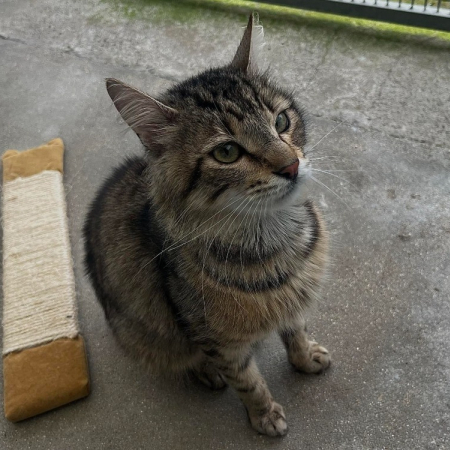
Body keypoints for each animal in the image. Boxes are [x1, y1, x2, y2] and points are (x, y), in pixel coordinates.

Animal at [84, 13, 330, 437]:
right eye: (227, 152)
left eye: (281, 121)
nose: (291, 166)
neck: (272, 237)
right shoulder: (215, 337)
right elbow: (247, 381)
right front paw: (264, 415)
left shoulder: (294, 299)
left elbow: (295, 329)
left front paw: (304, 356)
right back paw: (205, 373)